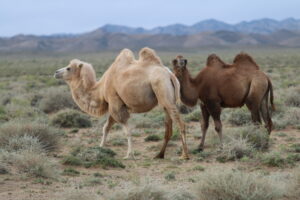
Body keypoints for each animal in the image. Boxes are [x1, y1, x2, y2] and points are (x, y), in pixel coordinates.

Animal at [54, 47, 189, 159]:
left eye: (68, 68)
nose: (56, 72)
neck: (101, 88)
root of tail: (170, 75)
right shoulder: (115, 105)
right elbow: (106, 127)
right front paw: (100, 148)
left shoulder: (115, 102)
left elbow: (127, 130)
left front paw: (129, 155)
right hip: (165, 99)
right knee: (169, 127)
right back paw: (159, 155)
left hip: (163, 91)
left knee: (180, 123)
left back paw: (184, 155)